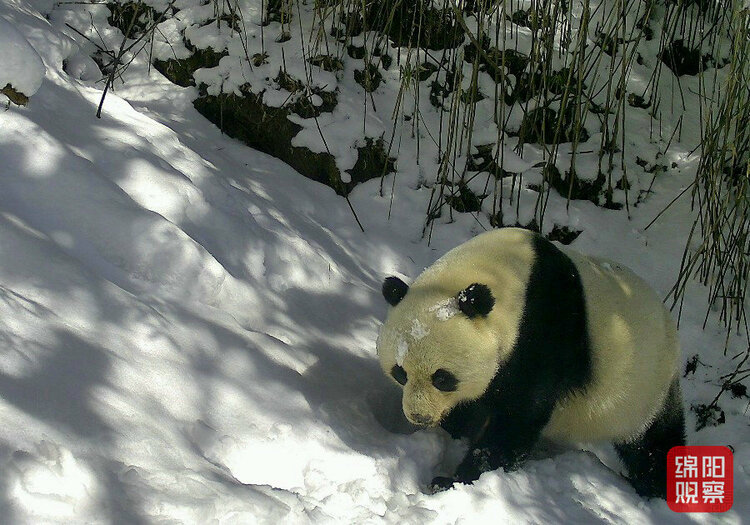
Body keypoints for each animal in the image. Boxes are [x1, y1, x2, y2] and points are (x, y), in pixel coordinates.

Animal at [376, 227, 688, 498]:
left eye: (442, 378)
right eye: (400, 373)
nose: (420, 416)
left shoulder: (541, 335)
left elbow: (518, 417)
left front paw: (453, 480)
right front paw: (453, 436)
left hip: (644, 385)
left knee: (653, 441)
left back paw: (656, 488)